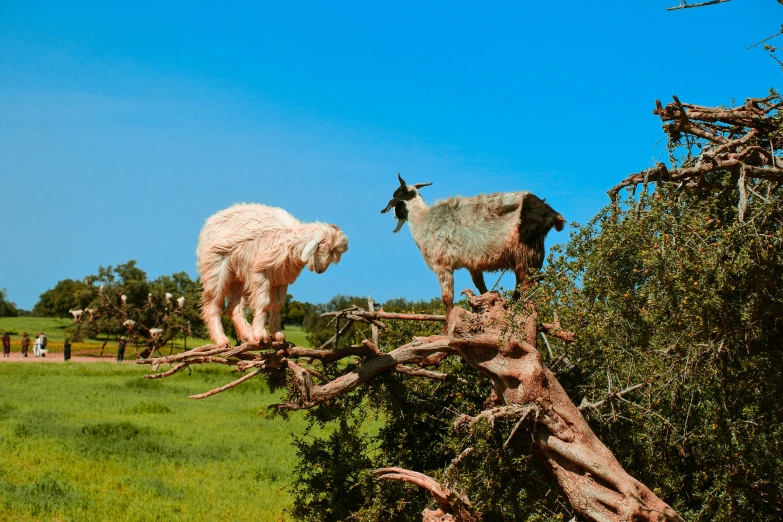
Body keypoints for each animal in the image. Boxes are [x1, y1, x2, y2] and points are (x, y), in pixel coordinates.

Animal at [198, 202, 348, 346]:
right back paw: (222, 340)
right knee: (212, 304)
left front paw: (277, 334)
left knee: (234, 308)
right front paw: (261, 334)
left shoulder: (281, 279)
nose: (321, 270)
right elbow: (264, 302)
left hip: (239, 275)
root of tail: (211, 220)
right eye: (322, 248)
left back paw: (249, 336)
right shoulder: (261, 272)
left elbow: (277, 305)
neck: (290, 240)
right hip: (215, 267)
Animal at [382, 174, 568, 316]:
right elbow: (481, 288)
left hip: (526, 254)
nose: (392, 214)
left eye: (396, 196)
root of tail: (552, 214)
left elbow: (447, 299)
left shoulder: (443, 266)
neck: (424, 220)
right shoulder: (473, 265)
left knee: (526, 288)